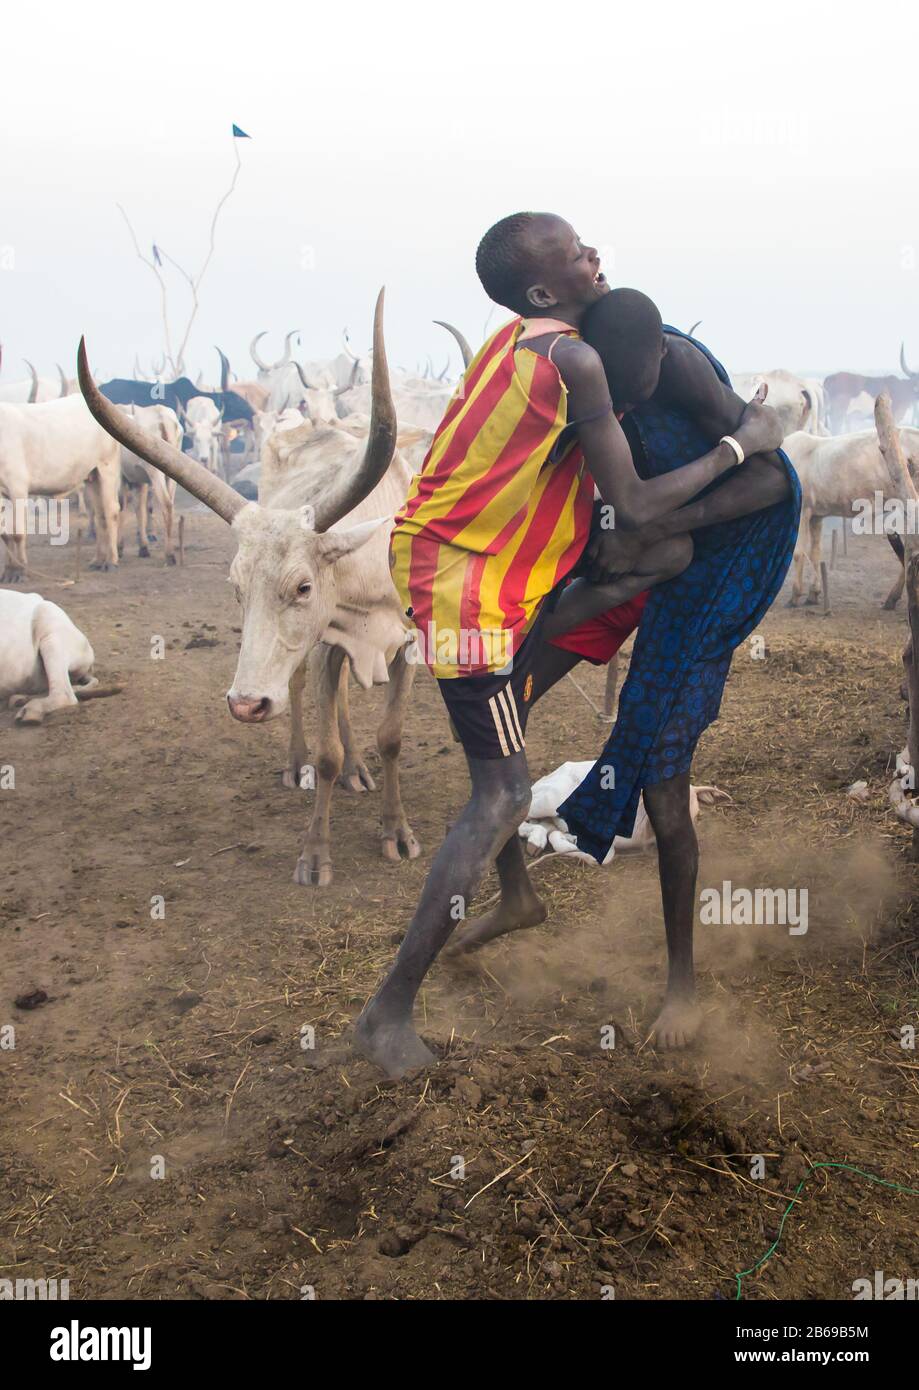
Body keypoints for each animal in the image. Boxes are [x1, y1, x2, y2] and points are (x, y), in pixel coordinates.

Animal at [0, 394, 121, 578]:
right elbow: (6, 534)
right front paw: (8, 571)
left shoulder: (17, 487)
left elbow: (17, 532)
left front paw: (20, 571)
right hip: (92, 475)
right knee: (100, 515)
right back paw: (98, 560)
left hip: (108, 467)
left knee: (111, 511)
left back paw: (111, 561)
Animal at [784, 425, 917, 606]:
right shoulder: (816, 515)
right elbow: (815, 553)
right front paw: (813, 593)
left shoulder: (803, 511)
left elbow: (798, 553)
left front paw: (795, 595)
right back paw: (892, 598)